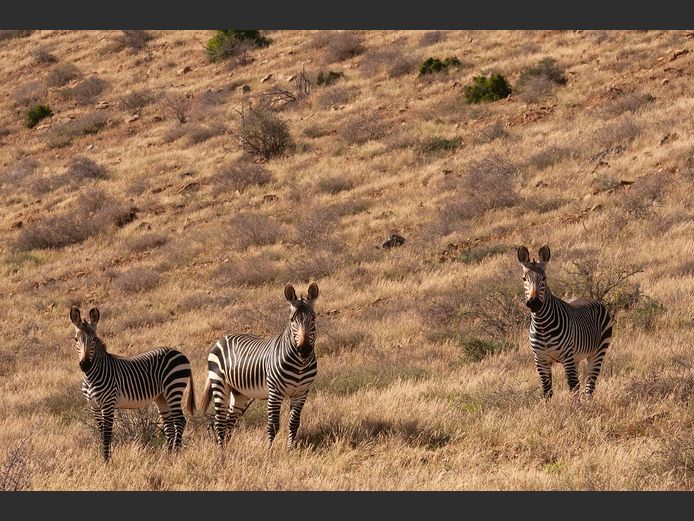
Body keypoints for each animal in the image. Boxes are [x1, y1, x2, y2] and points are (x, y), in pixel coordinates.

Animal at [69, 306, 196, 461]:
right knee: (169, 426)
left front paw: (107, 461)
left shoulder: (108, 404)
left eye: (93, 339)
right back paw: (167, 455)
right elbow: (101, 432)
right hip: (162, 397)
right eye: (76, 339)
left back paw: (176, 453)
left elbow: (107, 434)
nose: (85, 365)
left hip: (174, 388)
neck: (90, 377)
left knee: (180, 421)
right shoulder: (94, 407)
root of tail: (180, 353)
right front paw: (105, 458)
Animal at [201, 282, 319, 449]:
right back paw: (220, 451)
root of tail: (222, 338)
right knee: (220, 422)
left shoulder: (301, 393)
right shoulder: (275, 392)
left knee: (229, 421)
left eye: (313, 318)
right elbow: (273, 425)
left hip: (239, 392)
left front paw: (290, 450)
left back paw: (228, 450)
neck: (300, 365)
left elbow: (294, 423)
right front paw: (269, 451)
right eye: (292, 320)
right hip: (219, 384)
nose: (304, 349)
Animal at [517, 245, 613, 399]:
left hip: (598, 351)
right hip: (577, 357)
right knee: (580, 382)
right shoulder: (540, 360)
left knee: (589, 383)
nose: (534, 303)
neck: (542, 325)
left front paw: (576, 406)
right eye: (524, 279)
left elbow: (572, 385)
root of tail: (590, 298)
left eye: (544, 278)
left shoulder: (567, 356)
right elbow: (547, 390)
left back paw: (588, 403)